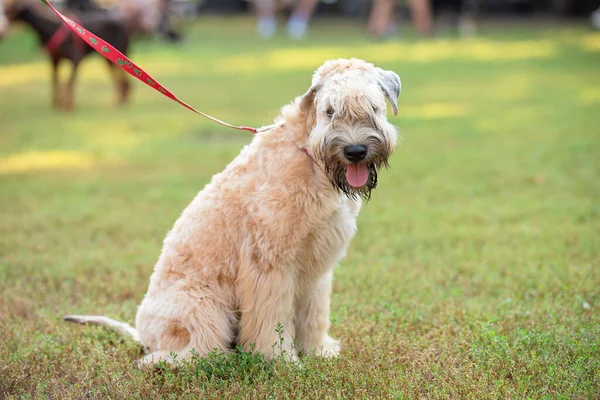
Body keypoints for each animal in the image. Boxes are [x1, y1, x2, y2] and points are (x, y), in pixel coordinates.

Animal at [63, 57, 400, 368]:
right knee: (189, 351)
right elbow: (271, 319)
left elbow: (313, 314)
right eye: (330, 111)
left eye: (374, 106)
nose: (355, 151)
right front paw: (279, 359)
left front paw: (317, 351)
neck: (310, 157)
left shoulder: (316, 264)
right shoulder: (269, 263)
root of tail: (142, 333)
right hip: (201, 307)